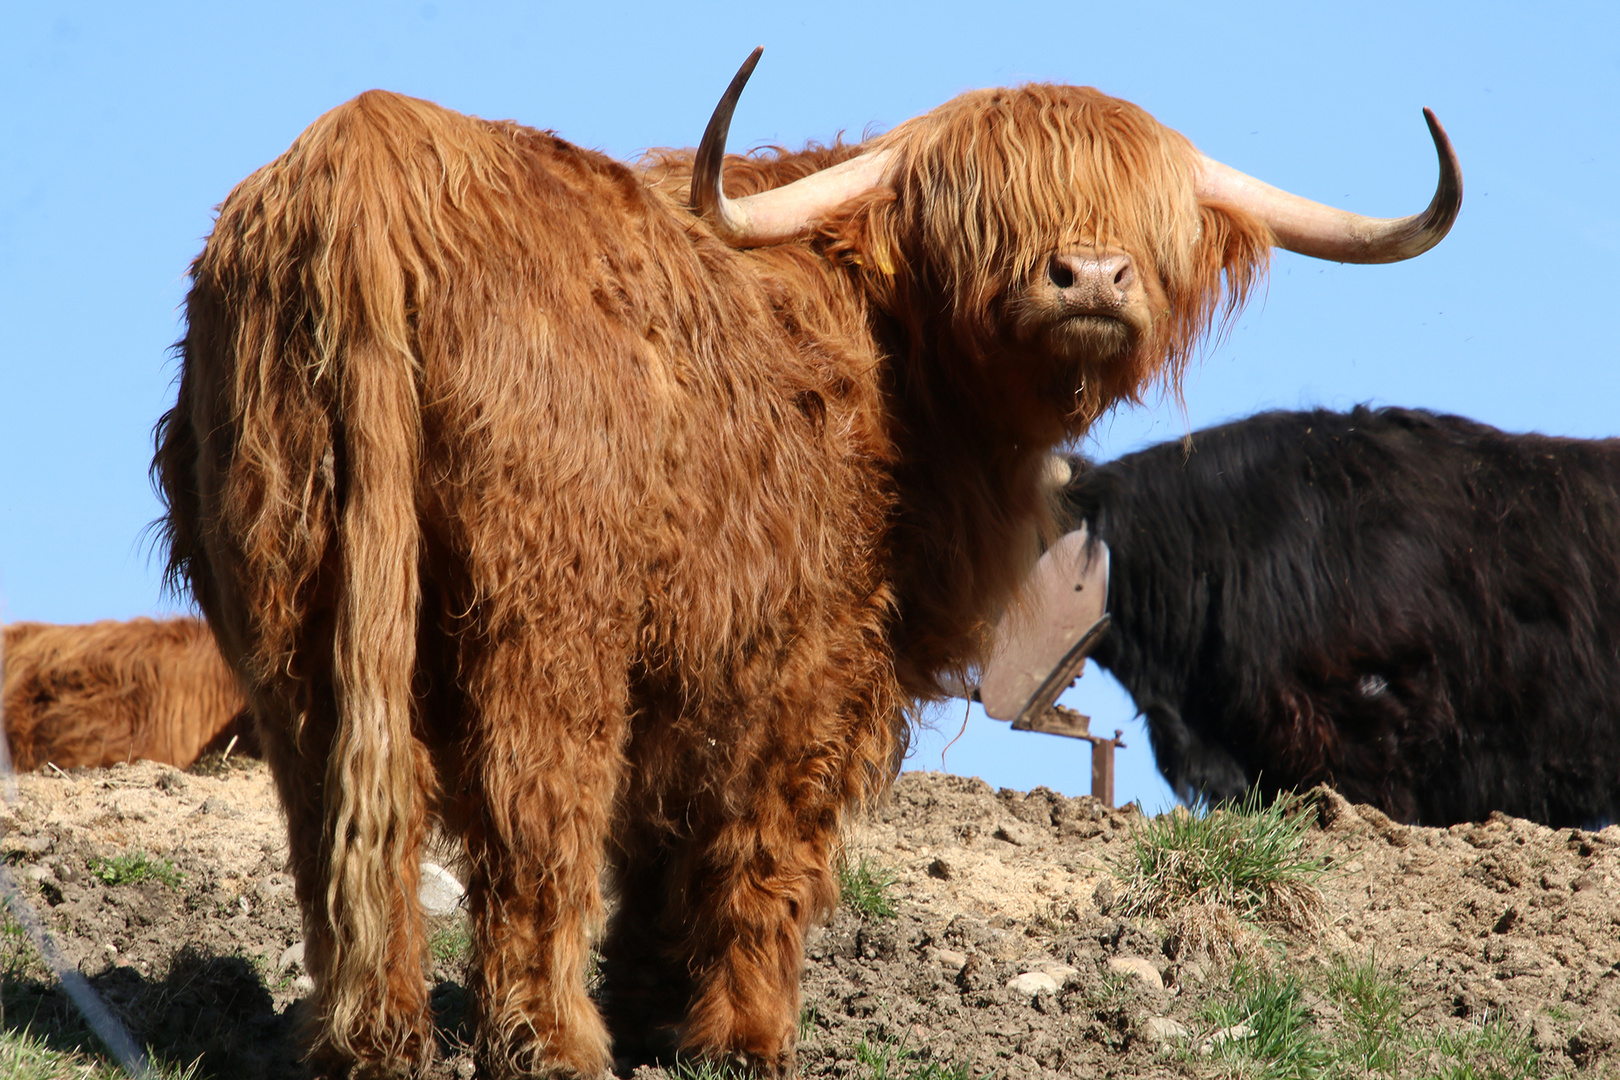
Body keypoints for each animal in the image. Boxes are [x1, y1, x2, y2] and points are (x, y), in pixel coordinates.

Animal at [154, 48, 1470, 1080]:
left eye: (1151, 217)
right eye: (988, 207)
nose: (1091, 276)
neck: (904, 356)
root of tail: (368, 160)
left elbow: (664, 836)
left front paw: (660, 1010)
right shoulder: (816, 650)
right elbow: (766, 838)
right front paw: (741, 1039)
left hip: (289, 592)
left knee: (338, 819)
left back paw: (367, 1042)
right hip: (548, 614)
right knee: (538, 817)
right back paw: (556, 1045)